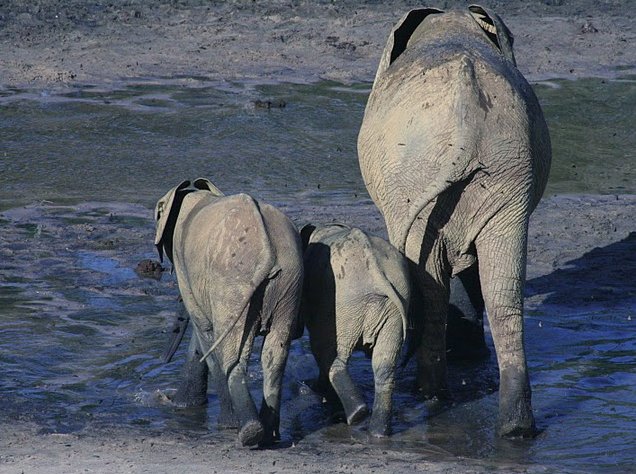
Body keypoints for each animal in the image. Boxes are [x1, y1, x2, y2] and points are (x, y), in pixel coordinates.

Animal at [154, 179, 304, 448]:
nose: (163, 360)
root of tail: (268, 249)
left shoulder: (184, 264)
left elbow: (204, 330)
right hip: (290, 279)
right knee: (275, 355)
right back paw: (269, 435)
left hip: (233, 282)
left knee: (233, 353)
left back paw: (245, 431)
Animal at [300, 223, 410, 436]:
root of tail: (375, 271)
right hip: (395, 303)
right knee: (384, 366)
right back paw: (377, 432)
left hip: (342, 305)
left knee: (329, 354)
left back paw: (355, 415)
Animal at [358, 5, 552, 438]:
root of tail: (467, 123)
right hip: (509, 173)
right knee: (503, 294)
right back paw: (516, 430)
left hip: (415, 178)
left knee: (431, 288)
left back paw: (430, 393)